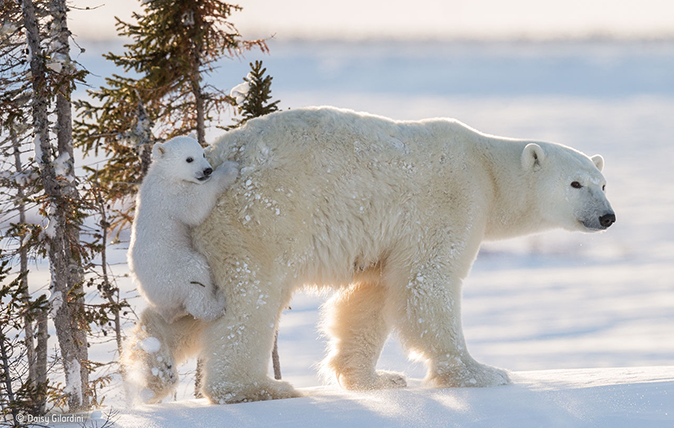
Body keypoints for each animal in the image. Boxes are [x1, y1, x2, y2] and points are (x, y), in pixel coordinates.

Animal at [154, 105, 616, 402]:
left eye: (602, 182)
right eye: (575, 183)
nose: (607, 216)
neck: (486, 166)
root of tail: (213, 156)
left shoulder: (386, 239)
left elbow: (370, 297)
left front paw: (377, 379)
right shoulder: (451, 200)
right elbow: (426, 284)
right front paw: (482, 373)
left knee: (193, 305)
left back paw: (154, 359)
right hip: (257, 220)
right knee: (249, 301)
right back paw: (255, 389)